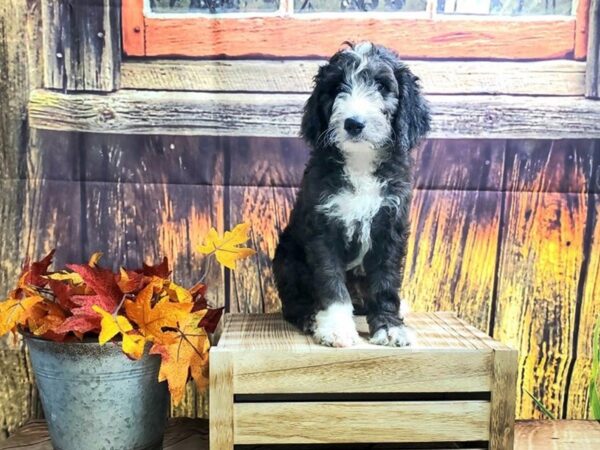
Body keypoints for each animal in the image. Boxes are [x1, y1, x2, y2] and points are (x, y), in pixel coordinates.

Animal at [272, 42, 432, 348]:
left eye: (381, 86)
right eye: (336, 88)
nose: (354, 123)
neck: (360, 162)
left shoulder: (390, 226)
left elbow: (386, 282)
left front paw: (390, 326)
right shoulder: (323, 227)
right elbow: (331, 281)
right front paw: (336, 328)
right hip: (287, 257)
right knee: (293, 301)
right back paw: (309, 317)